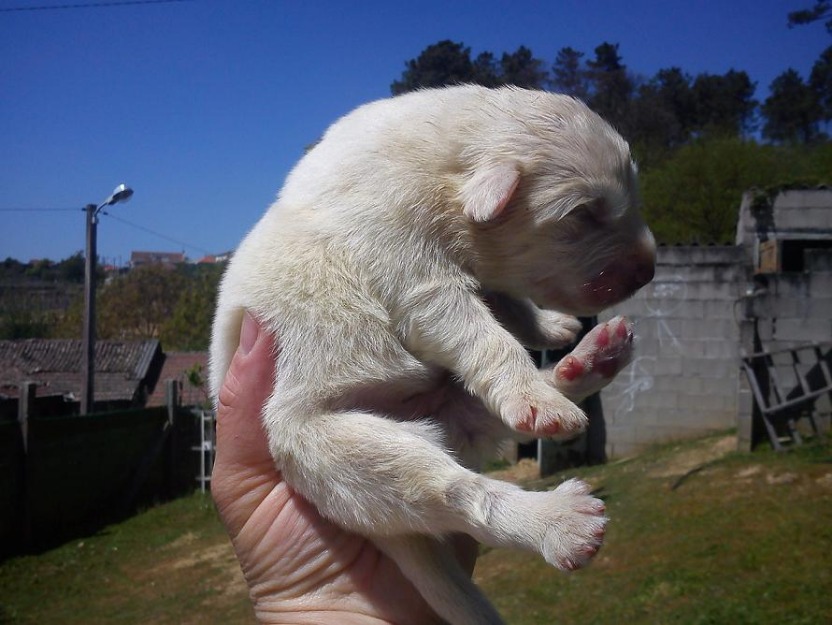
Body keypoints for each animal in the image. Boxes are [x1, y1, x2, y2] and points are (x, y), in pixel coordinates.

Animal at [213, 86, 656, 624]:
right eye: (584, 214)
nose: (649, 270)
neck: (446, 159)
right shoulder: (414, 272)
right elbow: (486, 334)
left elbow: (510, 306)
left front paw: (551, 325)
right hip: (334, 449)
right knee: (461, 494)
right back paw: (559, 514)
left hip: (447, 422)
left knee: (489, 421)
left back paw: (588, 363)